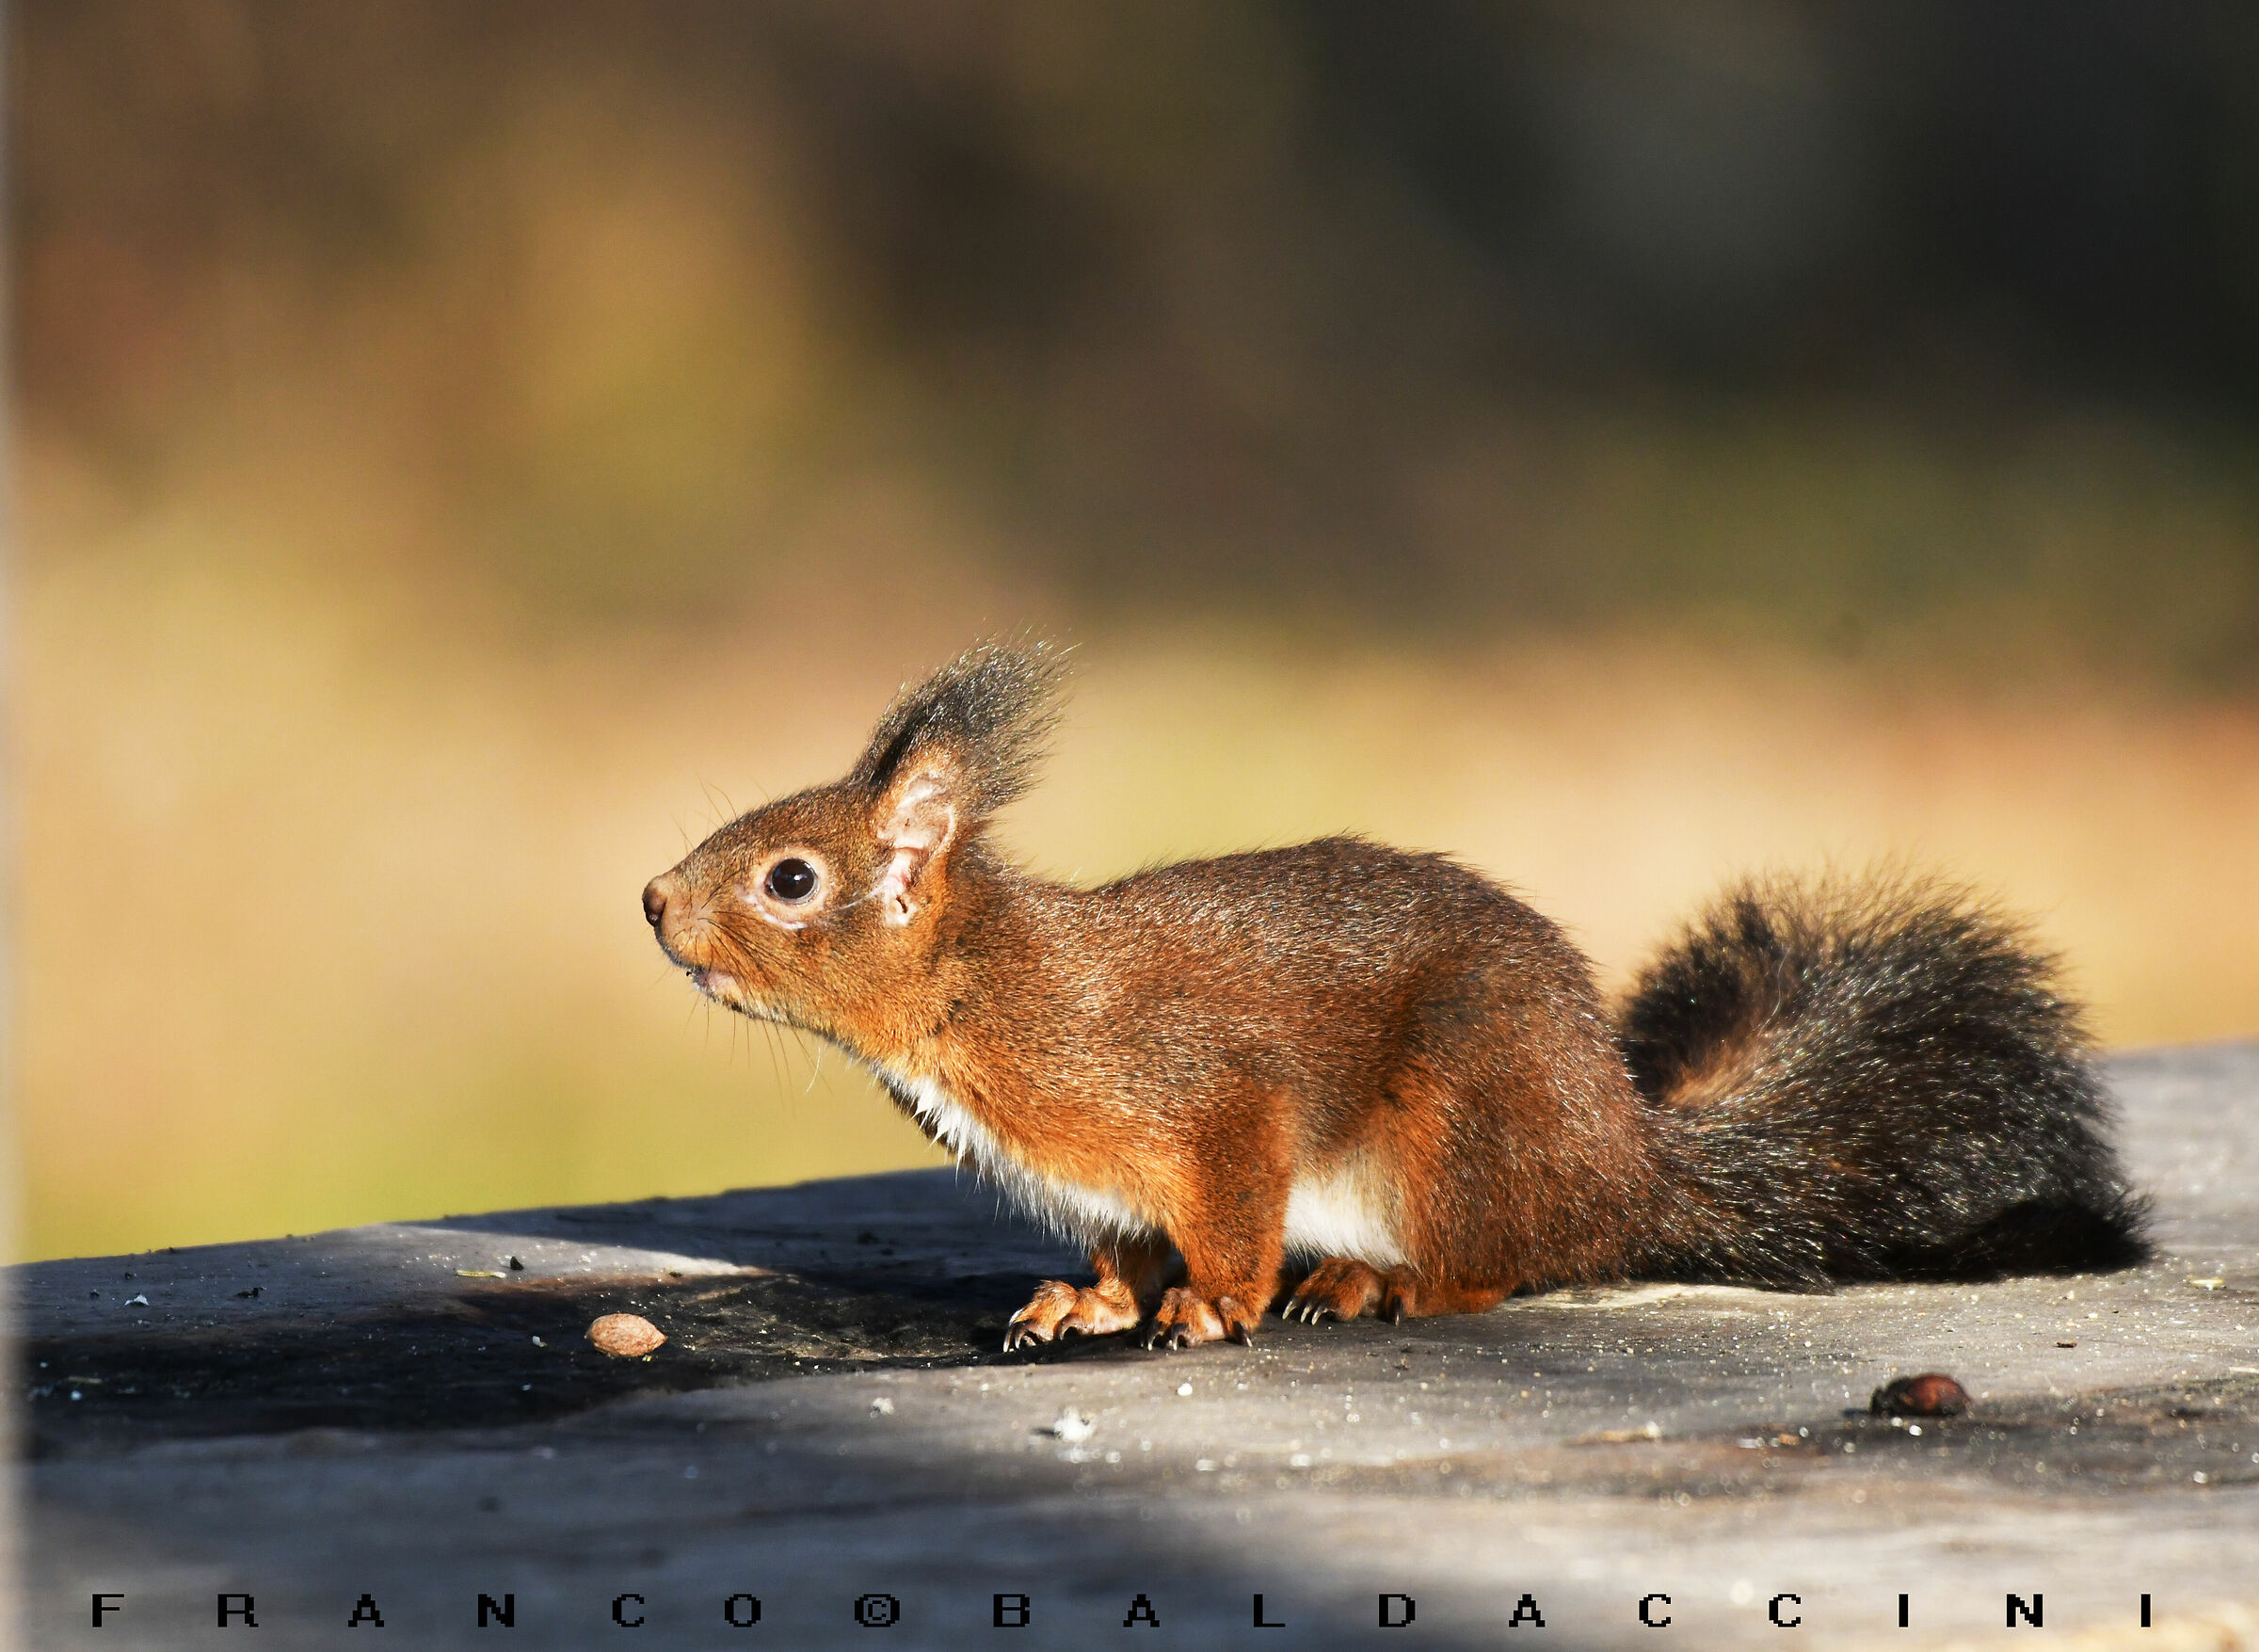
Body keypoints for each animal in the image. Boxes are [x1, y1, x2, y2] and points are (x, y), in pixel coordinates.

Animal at [642, 641, 2146, 1350]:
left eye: (789, 879)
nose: (654, 902)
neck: (982, 991)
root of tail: (1625, 1160)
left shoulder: (1202, 1097)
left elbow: (1227, 1216)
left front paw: (1211, 1306)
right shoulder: (1111, 1184)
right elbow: (1126, 1249)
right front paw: (1092, 1304)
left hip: (1457, 1123)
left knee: (1504, 1265)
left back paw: (1387, 1283)